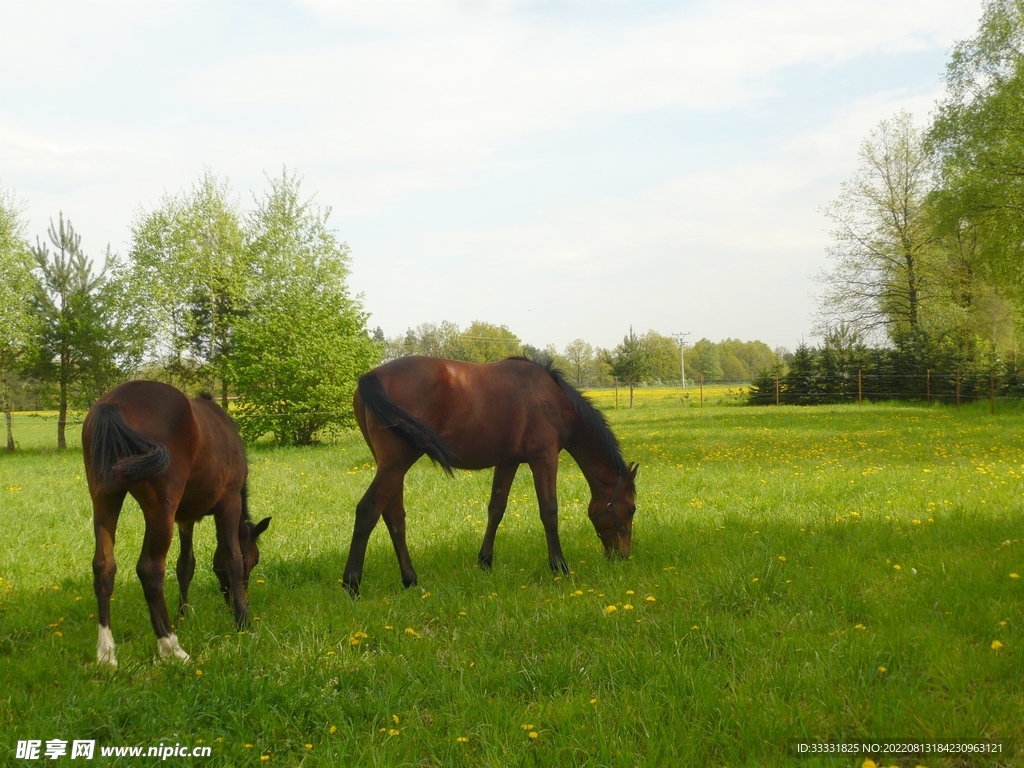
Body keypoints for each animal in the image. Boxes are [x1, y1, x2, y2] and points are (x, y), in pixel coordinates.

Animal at [82, 380, 271, 667]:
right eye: (255, 559)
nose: (235, 601)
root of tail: (112, 404)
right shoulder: (228, 502)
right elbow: (232, 560)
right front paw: (243, 623)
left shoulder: (184, 518)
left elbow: (185, 565)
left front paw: (183, 615)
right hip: (160, 509)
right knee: (150, 569)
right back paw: (171, 646)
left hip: (105, 499)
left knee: (103, 567)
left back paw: (106, 653)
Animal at [342, 356, 638, 594]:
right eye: (631, 509)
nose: (622, 557)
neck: (552, 398)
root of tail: (372, 376)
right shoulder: (544, 458)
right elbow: (549, 512)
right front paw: (559, 567)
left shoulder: (507, 462)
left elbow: (496, 509)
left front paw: (485, 562)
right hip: (395, 465)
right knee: (367, 511)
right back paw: (351, 584)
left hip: (391, 468)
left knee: (394, 517)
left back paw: (410, 580)